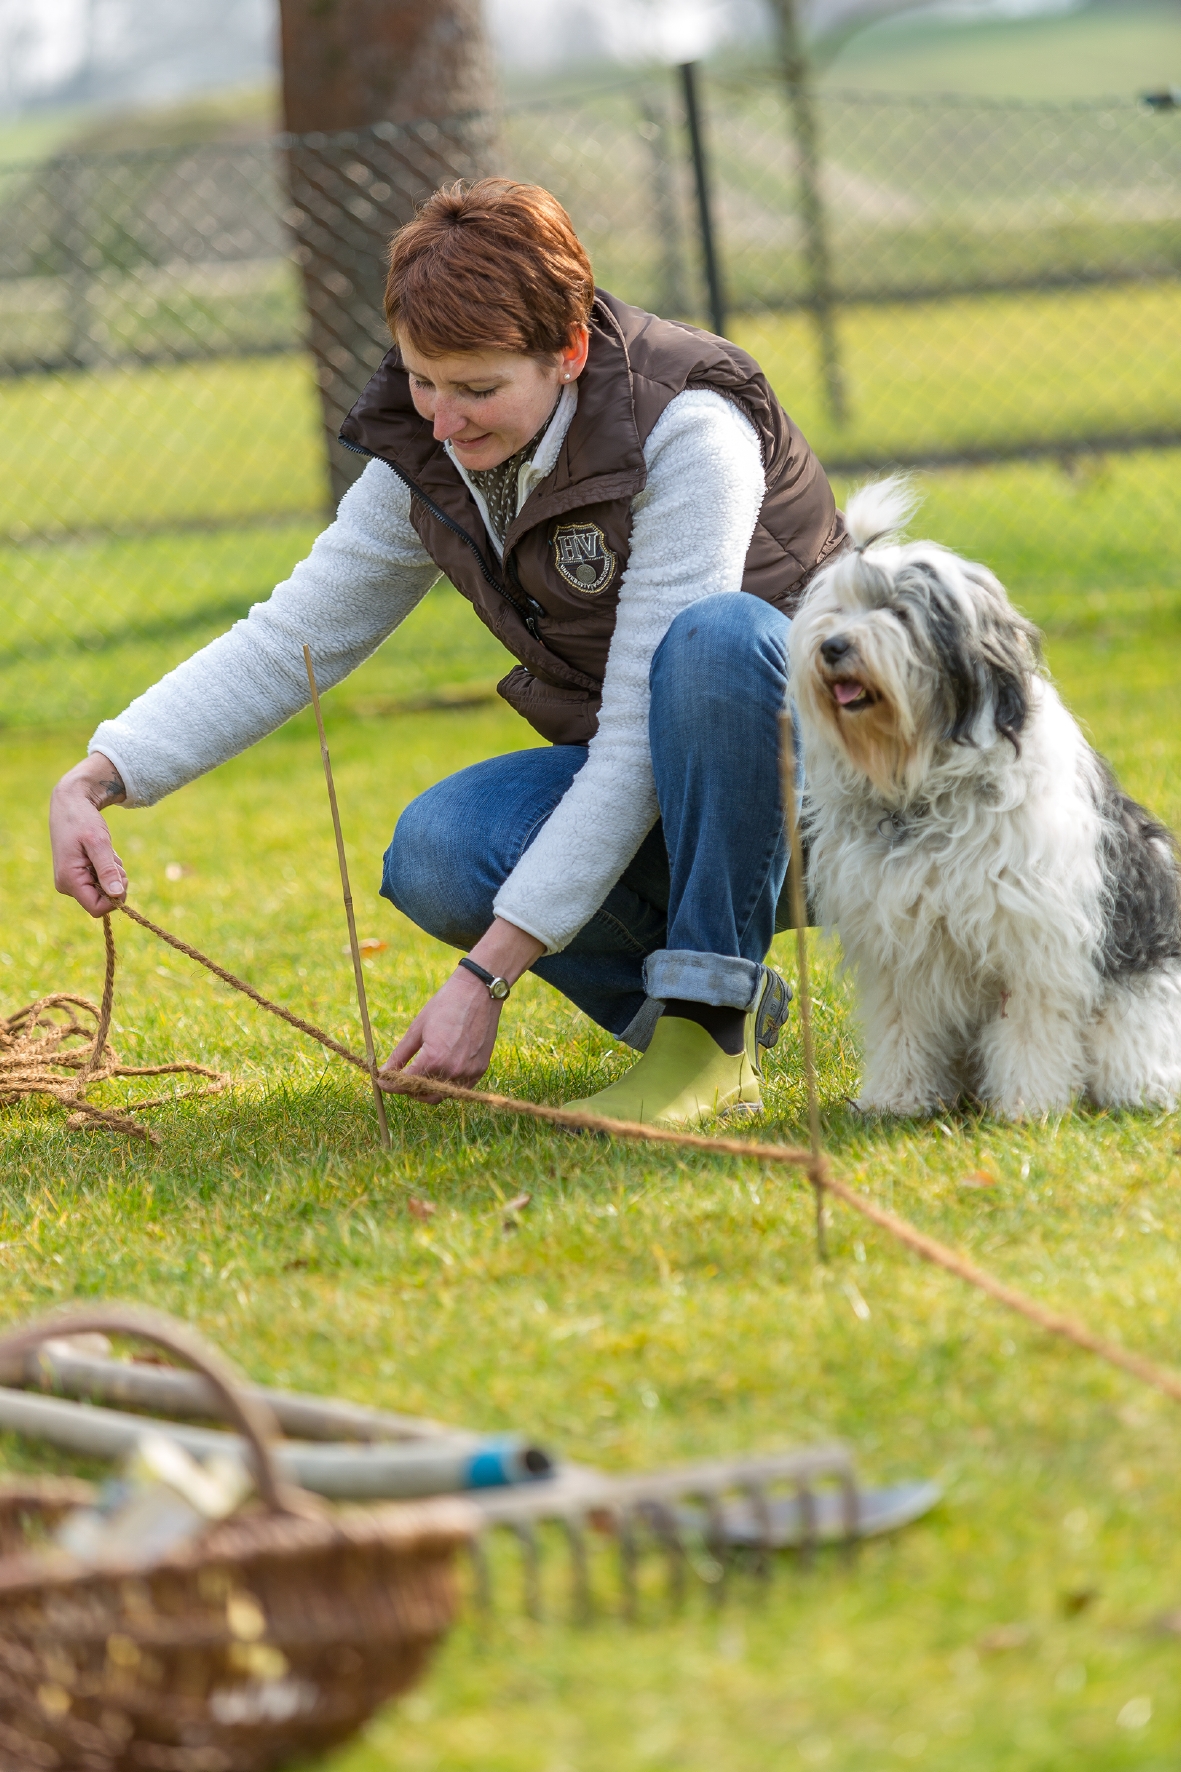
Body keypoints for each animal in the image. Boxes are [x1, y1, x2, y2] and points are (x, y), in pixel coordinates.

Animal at [787, 478, 1181, 1112]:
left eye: (898, 612)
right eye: (837, 609)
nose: (833, 647)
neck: (922, 781)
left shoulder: (1033, 937)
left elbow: (1028, 1028)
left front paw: (1027, 1106)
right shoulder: (897, 943)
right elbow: (902, 1024)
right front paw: (897, 1100)